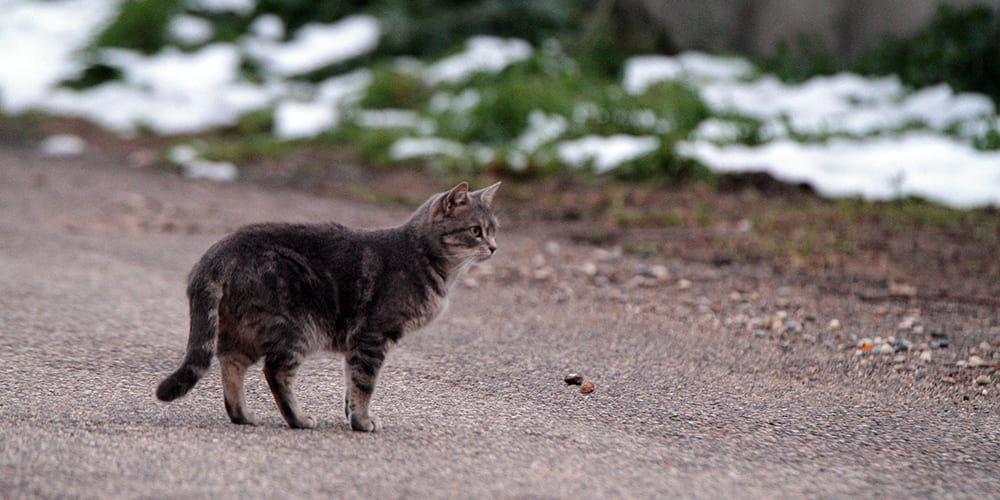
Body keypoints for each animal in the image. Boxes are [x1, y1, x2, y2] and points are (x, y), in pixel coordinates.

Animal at [156, 182, 500, 432]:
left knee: (231, 363)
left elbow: (351, 385)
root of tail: (218, 250)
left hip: (243, 327)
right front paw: (361, 422)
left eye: (494, 229)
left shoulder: (358, 345)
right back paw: (298, 419)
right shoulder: (373, 336)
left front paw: (351, 416)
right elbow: (364, 384)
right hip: (297, 326)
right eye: (475, 231)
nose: (494, 247)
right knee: (274, 370)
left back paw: (242, 415)